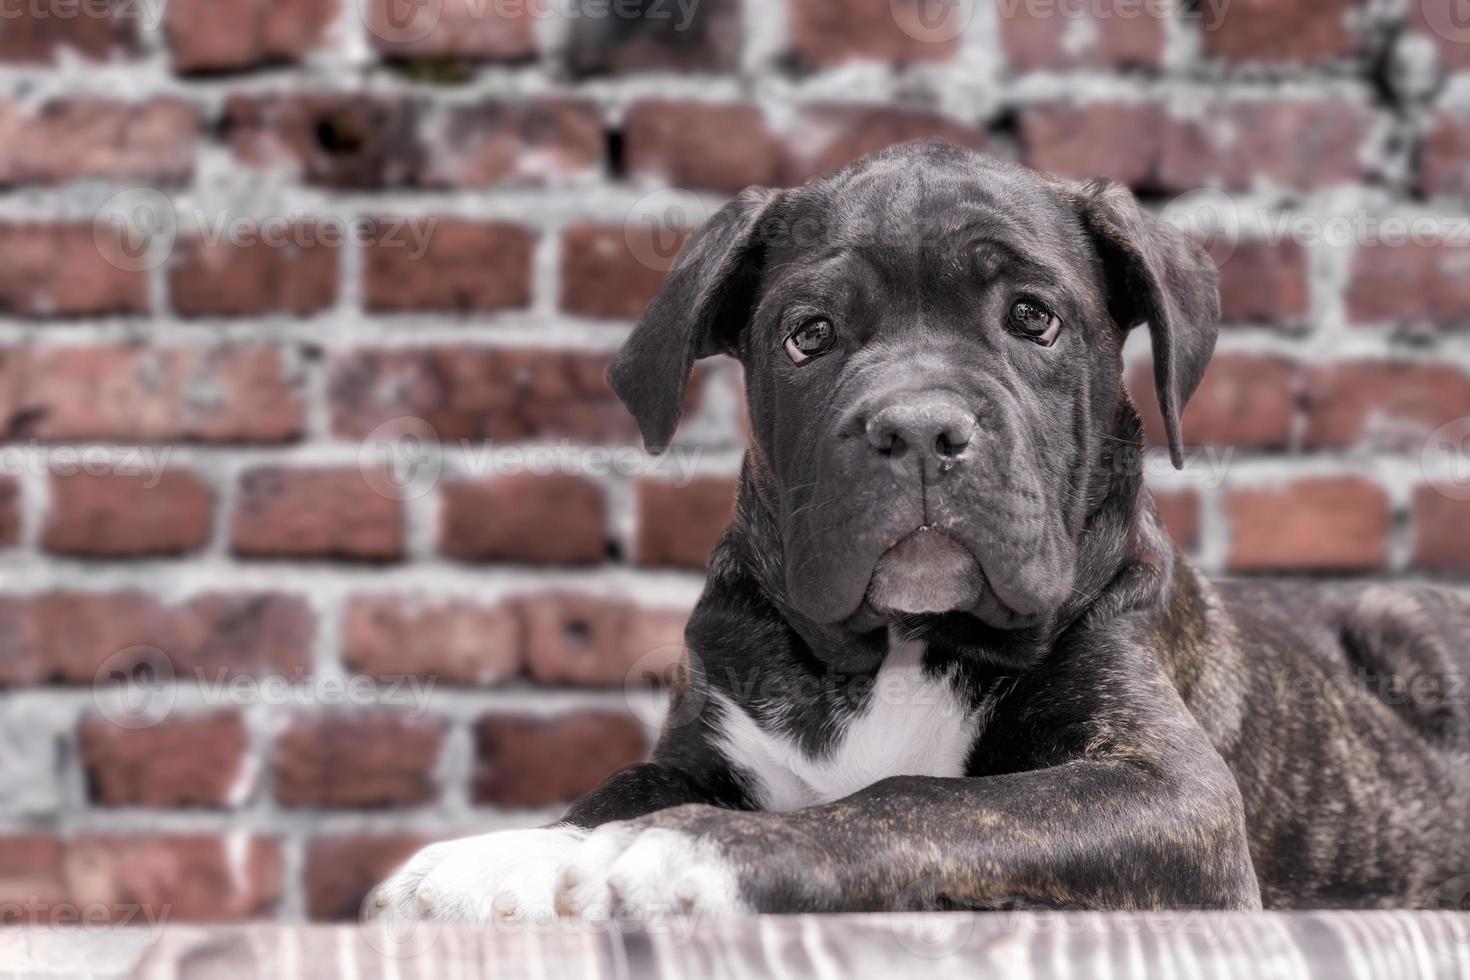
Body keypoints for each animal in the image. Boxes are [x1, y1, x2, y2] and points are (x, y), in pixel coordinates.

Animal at [370, 141, 1470, 922]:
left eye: (1032, 319)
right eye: (808, 334)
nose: (919, 427)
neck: (898, 643)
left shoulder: (1170, 789)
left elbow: (916, 798)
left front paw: (684, 847)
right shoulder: (706, 739)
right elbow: (611, 791)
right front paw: (506, 857)